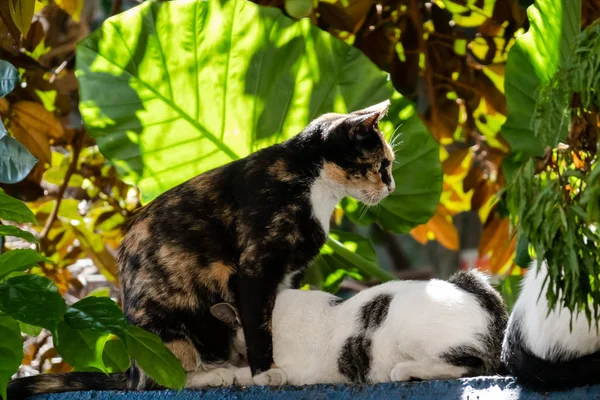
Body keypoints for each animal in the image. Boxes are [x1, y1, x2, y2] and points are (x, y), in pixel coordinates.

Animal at [7, 100, 398, 396]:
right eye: (383, 164)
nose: (392, 187)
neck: (312, 182)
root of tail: (130, 369)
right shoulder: (256, 267)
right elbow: (259, 325)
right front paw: (265, 372)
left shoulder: (285, 276)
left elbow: (272, 320)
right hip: (168, 330)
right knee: (161, 382)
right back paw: (218, 374)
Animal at [213, 268, 508, 384]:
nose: (235, 354)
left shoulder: (289, 369)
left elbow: (249, 374)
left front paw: (224, 373)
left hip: (408, 328)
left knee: (470, 363)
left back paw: (405, 370)